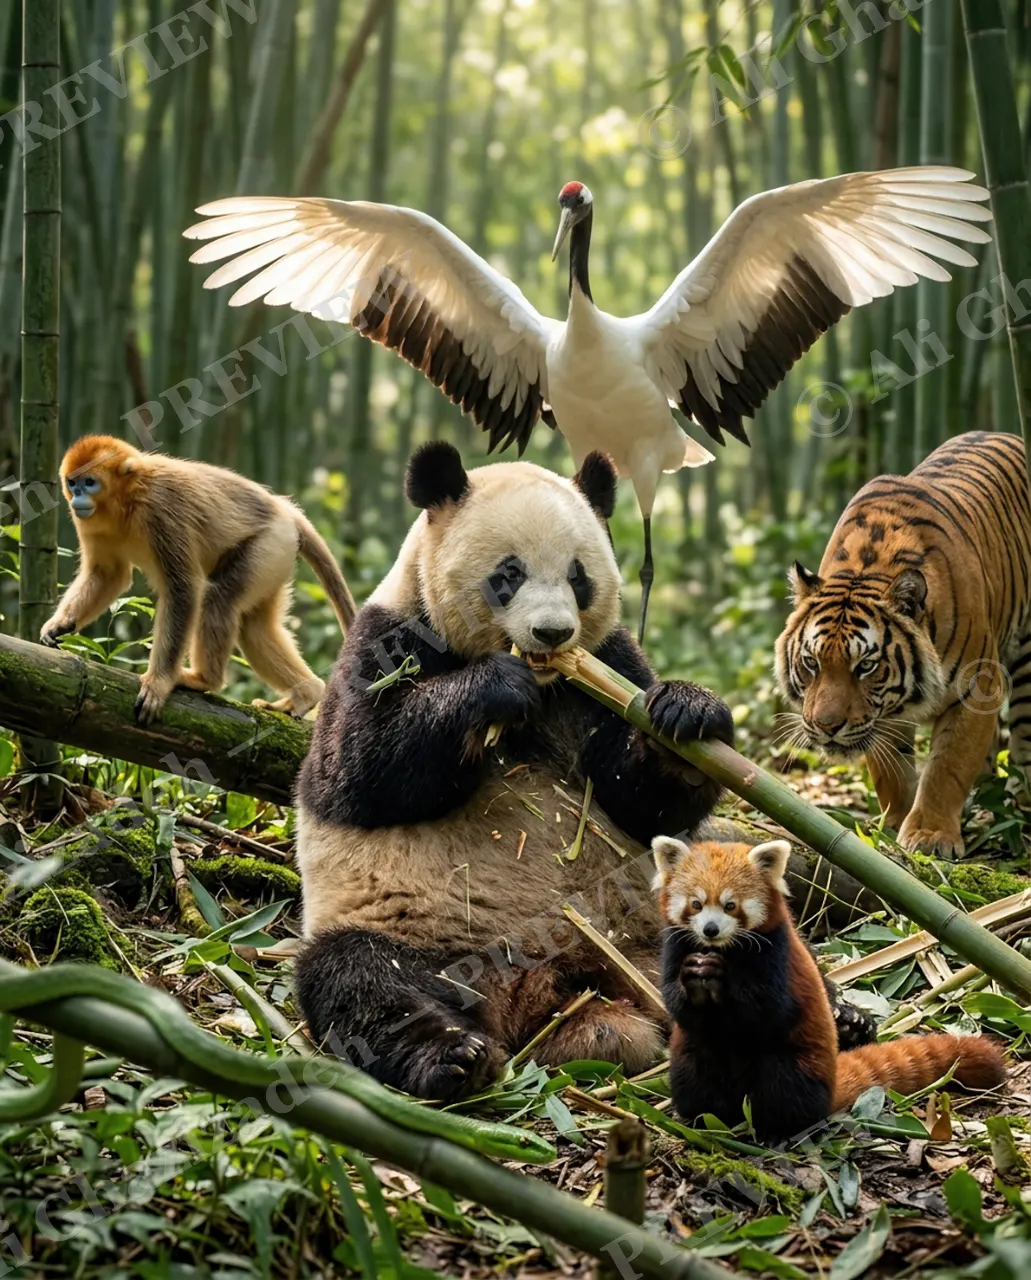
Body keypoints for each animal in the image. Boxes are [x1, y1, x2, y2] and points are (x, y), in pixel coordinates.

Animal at [292, 441, 734, 1101]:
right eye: (509, 574)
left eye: (578, 575)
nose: (552, 633)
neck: (547, 684)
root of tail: (541, 992)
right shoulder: (381, 642)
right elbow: (355, 772)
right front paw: (495, 688)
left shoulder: (609, 663)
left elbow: (639, 801)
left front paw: (689, 714)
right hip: (417, 936)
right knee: (361, 981)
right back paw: (454, 1057)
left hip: (660, 922)